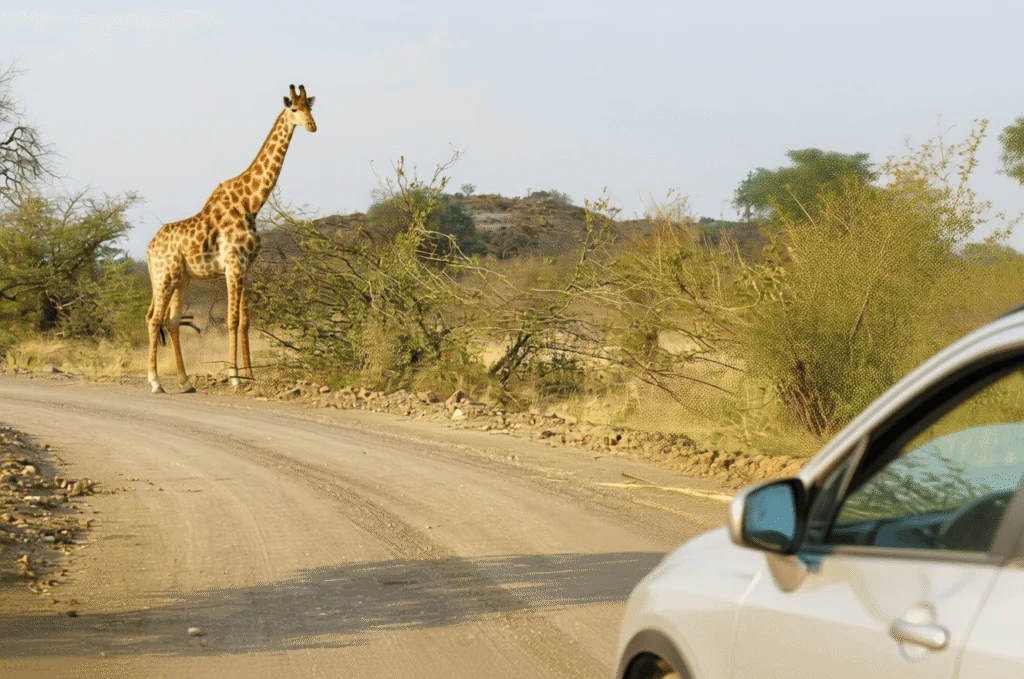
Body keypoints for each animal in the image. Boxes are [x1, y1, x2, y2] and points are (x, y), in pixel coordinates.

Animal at [145, 84, 317, 394]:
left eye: (310, 107)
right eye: (294, 109)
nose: (312, 126)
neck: (251, 202)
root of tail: (148, 250)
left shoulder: (246, 267)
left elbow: (246, 320)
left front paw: (250, 375)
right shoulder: (233, 265)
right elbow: (232, 319)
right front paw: (235, 377)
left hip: (181, 279)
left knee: (172, 321)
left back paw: (186, 382)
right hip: (164, 277)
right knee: (154, 320)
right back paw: (155, 382)